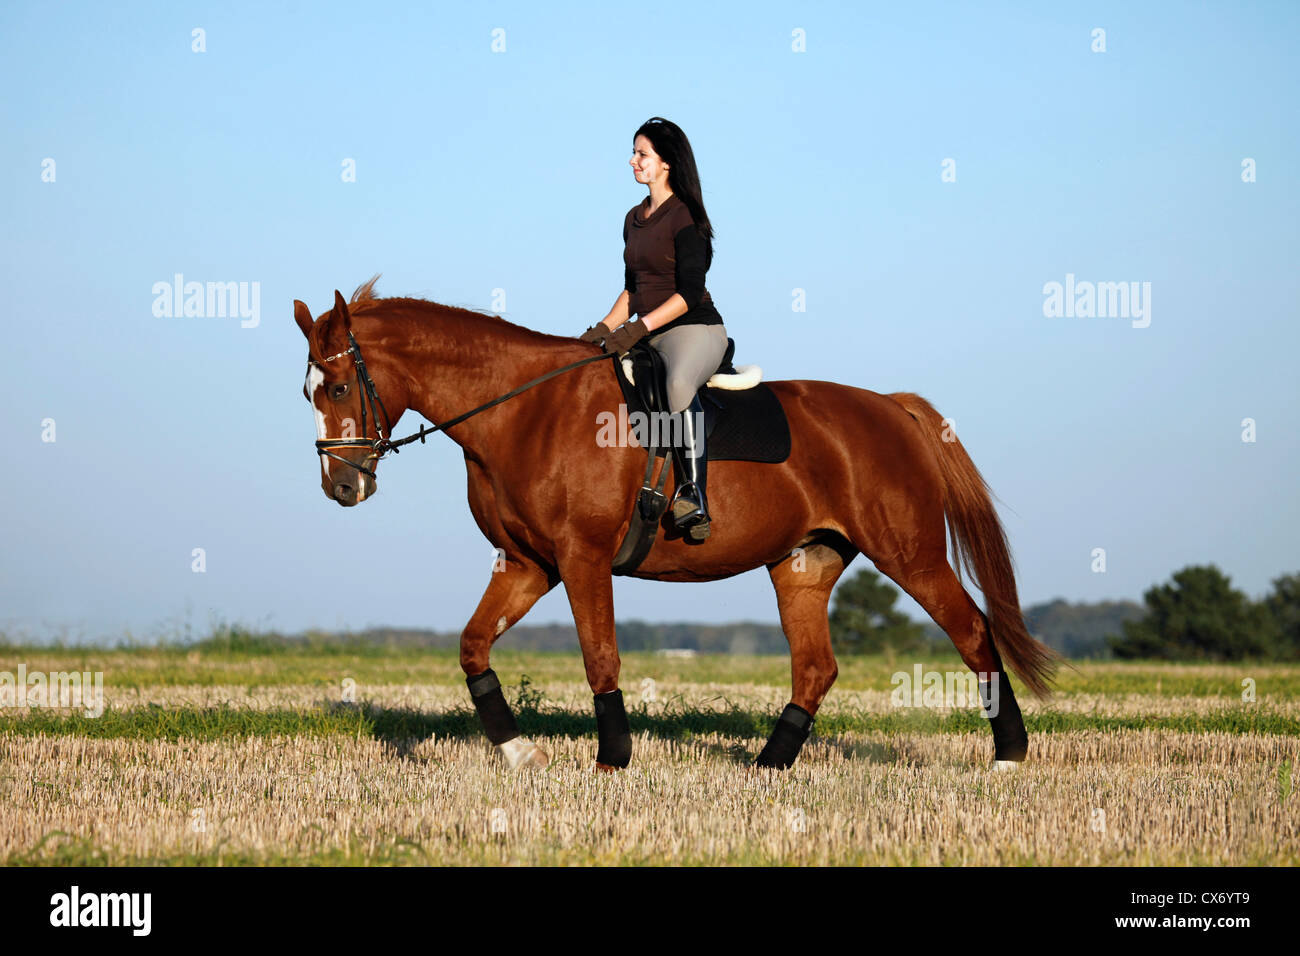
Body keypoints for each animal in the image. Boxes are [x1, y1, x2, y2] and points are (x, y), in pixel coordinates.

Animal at [295, 277, 1055, 770]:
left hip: (911, 555)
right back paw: (768, 764)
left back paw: (1010, 755)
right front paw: (517, 752)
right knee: (816, 667)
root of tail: (893, 408)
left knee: (973, 633)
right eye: (308, 392)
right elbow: (473, 647)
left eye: (338, 386)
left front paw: (614, 758)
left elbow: (600, 655)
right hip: (804, 564)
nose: (341, 486)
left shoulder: (580, 559)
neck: (524, 411)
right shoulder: (527, 565)